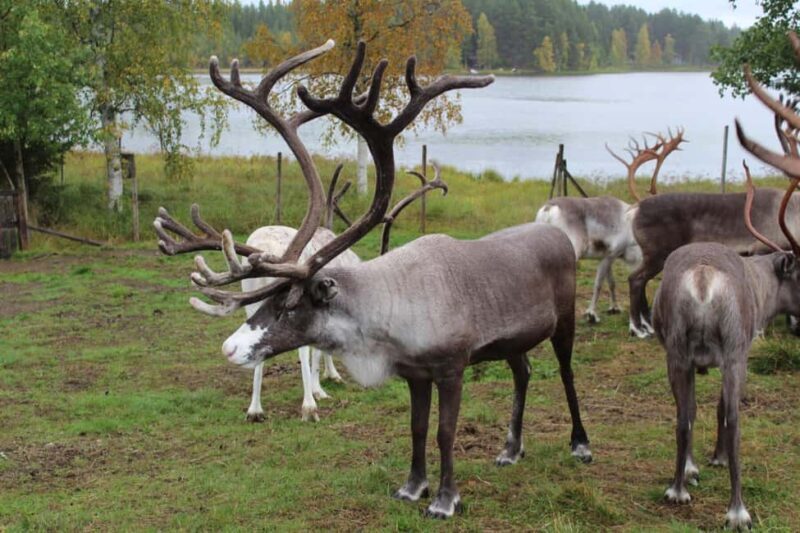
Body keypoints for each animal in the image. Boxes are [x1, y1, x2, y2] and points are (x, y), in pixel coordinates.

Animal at [154, 40, 592, 519]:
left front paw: (444, 500)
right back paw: (511, 450)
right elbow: (417, 428)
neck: (390, 317)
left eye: (291, 305)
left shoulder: (451, 366)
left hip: (565, 319)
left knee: (567, 372)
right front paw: (412, 487)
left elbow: (445, 432)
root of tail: (558, 234)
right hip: (514, 341)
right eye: (266, 300)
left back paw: (580, 444)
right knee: (524, 371)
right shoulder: (415, 373)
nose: (229, 347)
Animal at [533, 129, 684, 324]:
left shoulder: (608, 256)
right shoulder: (610, 253)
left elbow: (611, 282)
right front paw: (591, 314)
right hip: (572, 249)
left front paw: (614, 307)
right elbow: (598, 284)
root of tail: (548, 209)